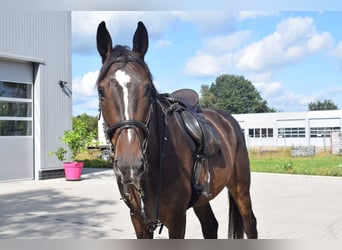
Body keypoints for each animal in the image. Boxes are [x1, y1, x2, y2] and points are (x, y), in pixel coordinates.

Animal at [95, 21, 256, 238]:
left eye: (148, 88)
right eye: (101, 91)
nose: (130, 164)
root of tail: (229, 120)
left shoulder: (177, 220)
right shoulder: (139, 221)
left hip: (241, 189)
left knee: (250, 224)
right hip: (202, 198)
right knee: (210, 225)